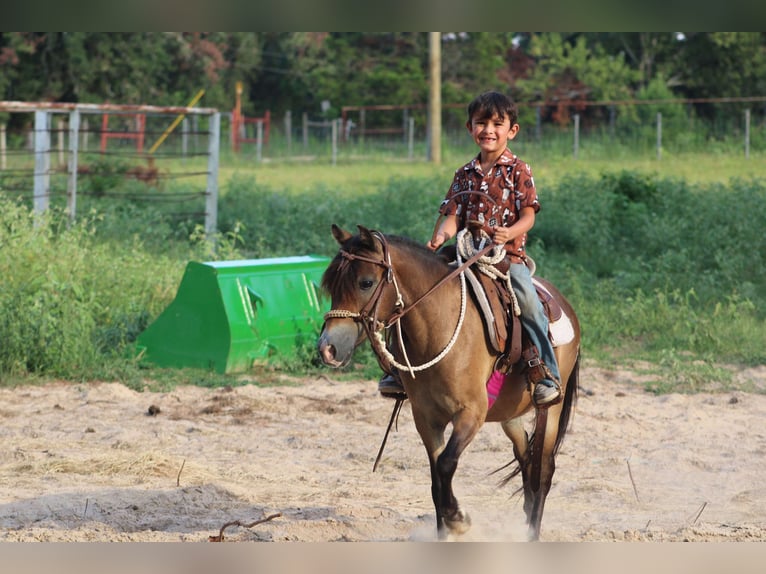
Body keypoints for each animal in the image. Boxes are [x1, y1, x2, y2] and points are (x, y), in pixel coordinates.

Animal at [318, 226, 584, 544]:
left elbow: (446, 464)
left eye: (366, 282)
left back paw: (532, 532)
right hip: (511, 414)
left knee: (543, 470)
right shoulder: (426, 418)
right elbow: (436, 480)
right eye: (331, 285)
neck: (438, 327)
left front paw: (458, 519)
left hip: (550, 409)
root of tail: (564, 303)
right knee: (526, 459)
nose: (327, 349)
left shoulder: (471, 414)